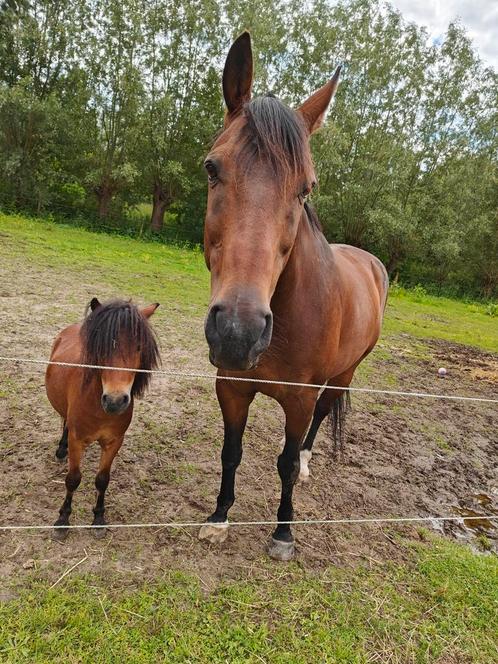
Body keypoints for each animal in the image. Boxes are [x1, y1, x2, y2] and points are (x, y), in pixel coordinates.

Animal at [44, 298, 159, 536]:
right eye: (102, 348)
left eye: (139, 347)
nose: (115, 401)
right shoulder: (77, 440)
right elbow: (73, 479)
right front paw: (63, 519)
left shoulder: (114, 442)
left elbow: (102, 480)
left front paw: (98, 517)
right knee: (65, 423)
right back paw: (61, 450)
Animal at [198, 32, 390, 560]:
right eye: (212, 169)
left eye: (306, 188)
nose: (238, 332)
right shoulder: (232, 387)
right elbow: (231, 452)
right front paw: (220, 517)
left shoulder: (299, 399)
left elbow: (283, 460)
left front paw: (283, 532)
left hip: (343, 374)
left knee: (320, 419)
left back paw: (306, 463)